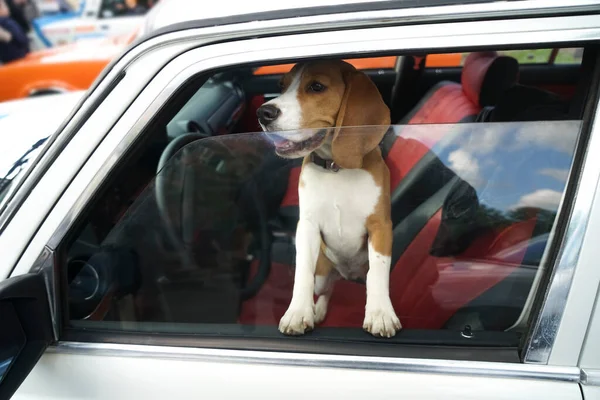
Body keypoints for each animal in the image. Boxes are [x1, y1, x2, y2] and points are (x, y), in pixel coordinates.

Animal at [255, 58, 400, 338]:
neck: (336, 168)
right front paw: (298, 312)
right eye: (282, 85)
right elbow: (302, 271)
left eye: (317, 86)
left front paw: (380, 313)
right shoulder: (307, 226)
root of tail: (346, 274)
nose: (263, 113)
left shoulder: (381, 226)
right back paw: (317, 309)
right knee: (327, 290)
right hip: (323, 274)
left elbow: (378, 272)